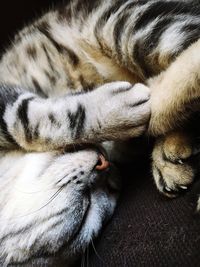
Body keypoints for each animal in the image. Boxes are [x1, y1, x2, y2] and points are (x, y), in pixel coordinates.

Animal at [0, 0, 200, 266]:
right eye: (87, 210)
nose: (104, 165)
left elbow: (26, 122)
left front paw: (115, 109)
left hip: (125, 24)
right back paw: (170, 153)